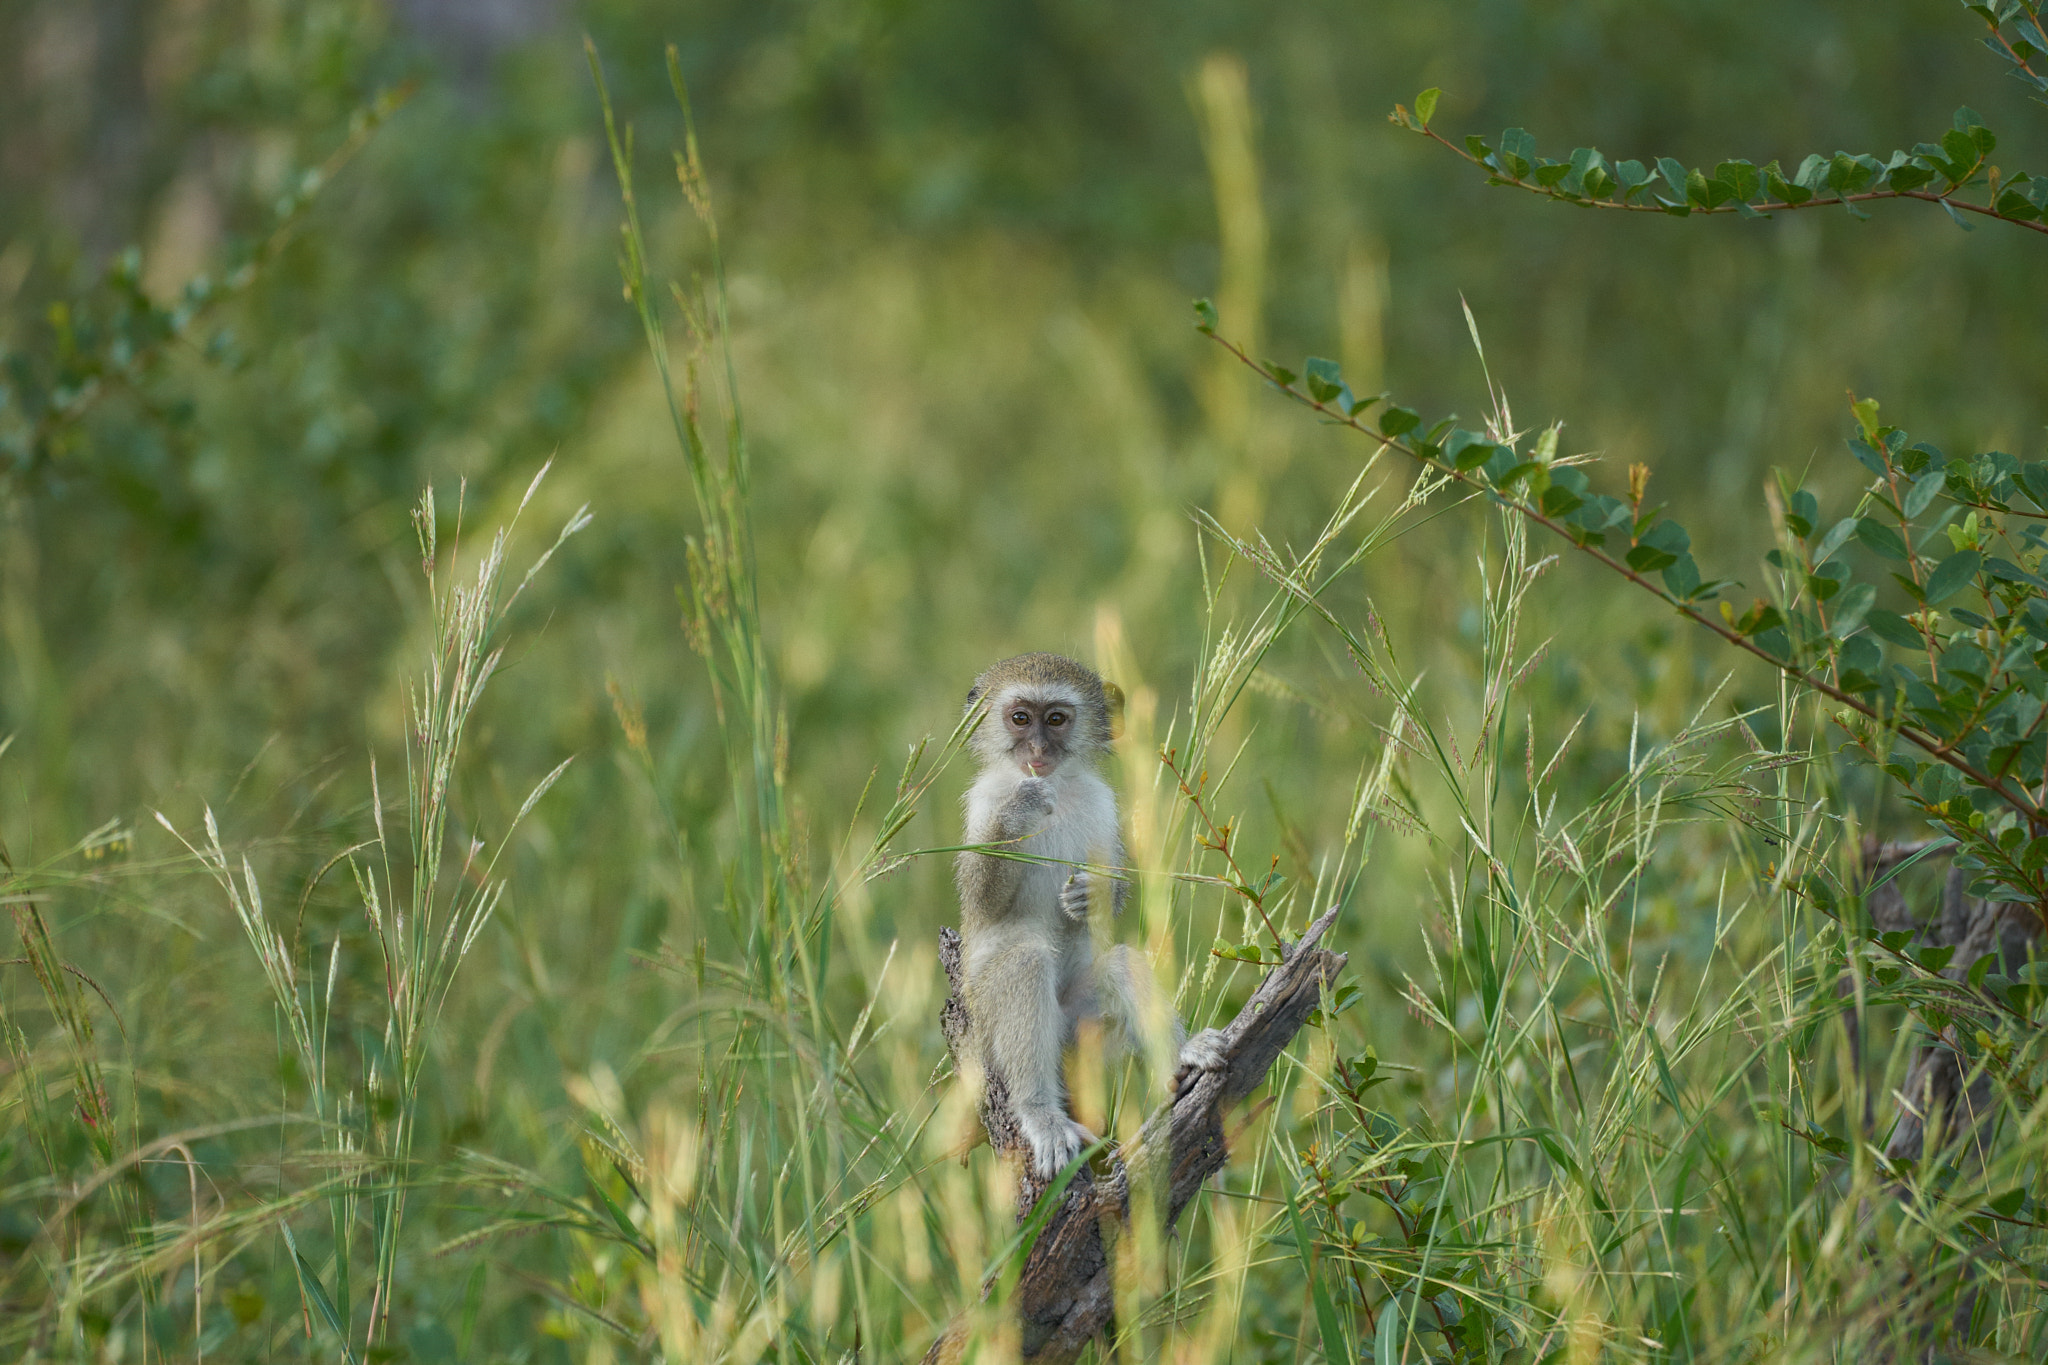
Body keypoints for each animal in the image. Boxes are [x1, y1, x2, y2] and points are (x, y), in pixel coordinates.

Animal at [954, 650, 1220, 1178]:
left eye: (1056, 719)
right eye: (1020, 718)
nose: (1038, 749)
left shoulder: (1103, 804)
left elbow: (1112, 891)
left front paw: (1091, 895)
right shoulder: (984, 801)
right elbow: (982, 901)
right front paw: (1020, 809)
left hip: (1082, 1033)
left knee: (1120, 963)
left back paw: (1179, 1054)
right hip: (984, 1023)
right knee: (1023, 964)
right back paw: (1042, 1115)